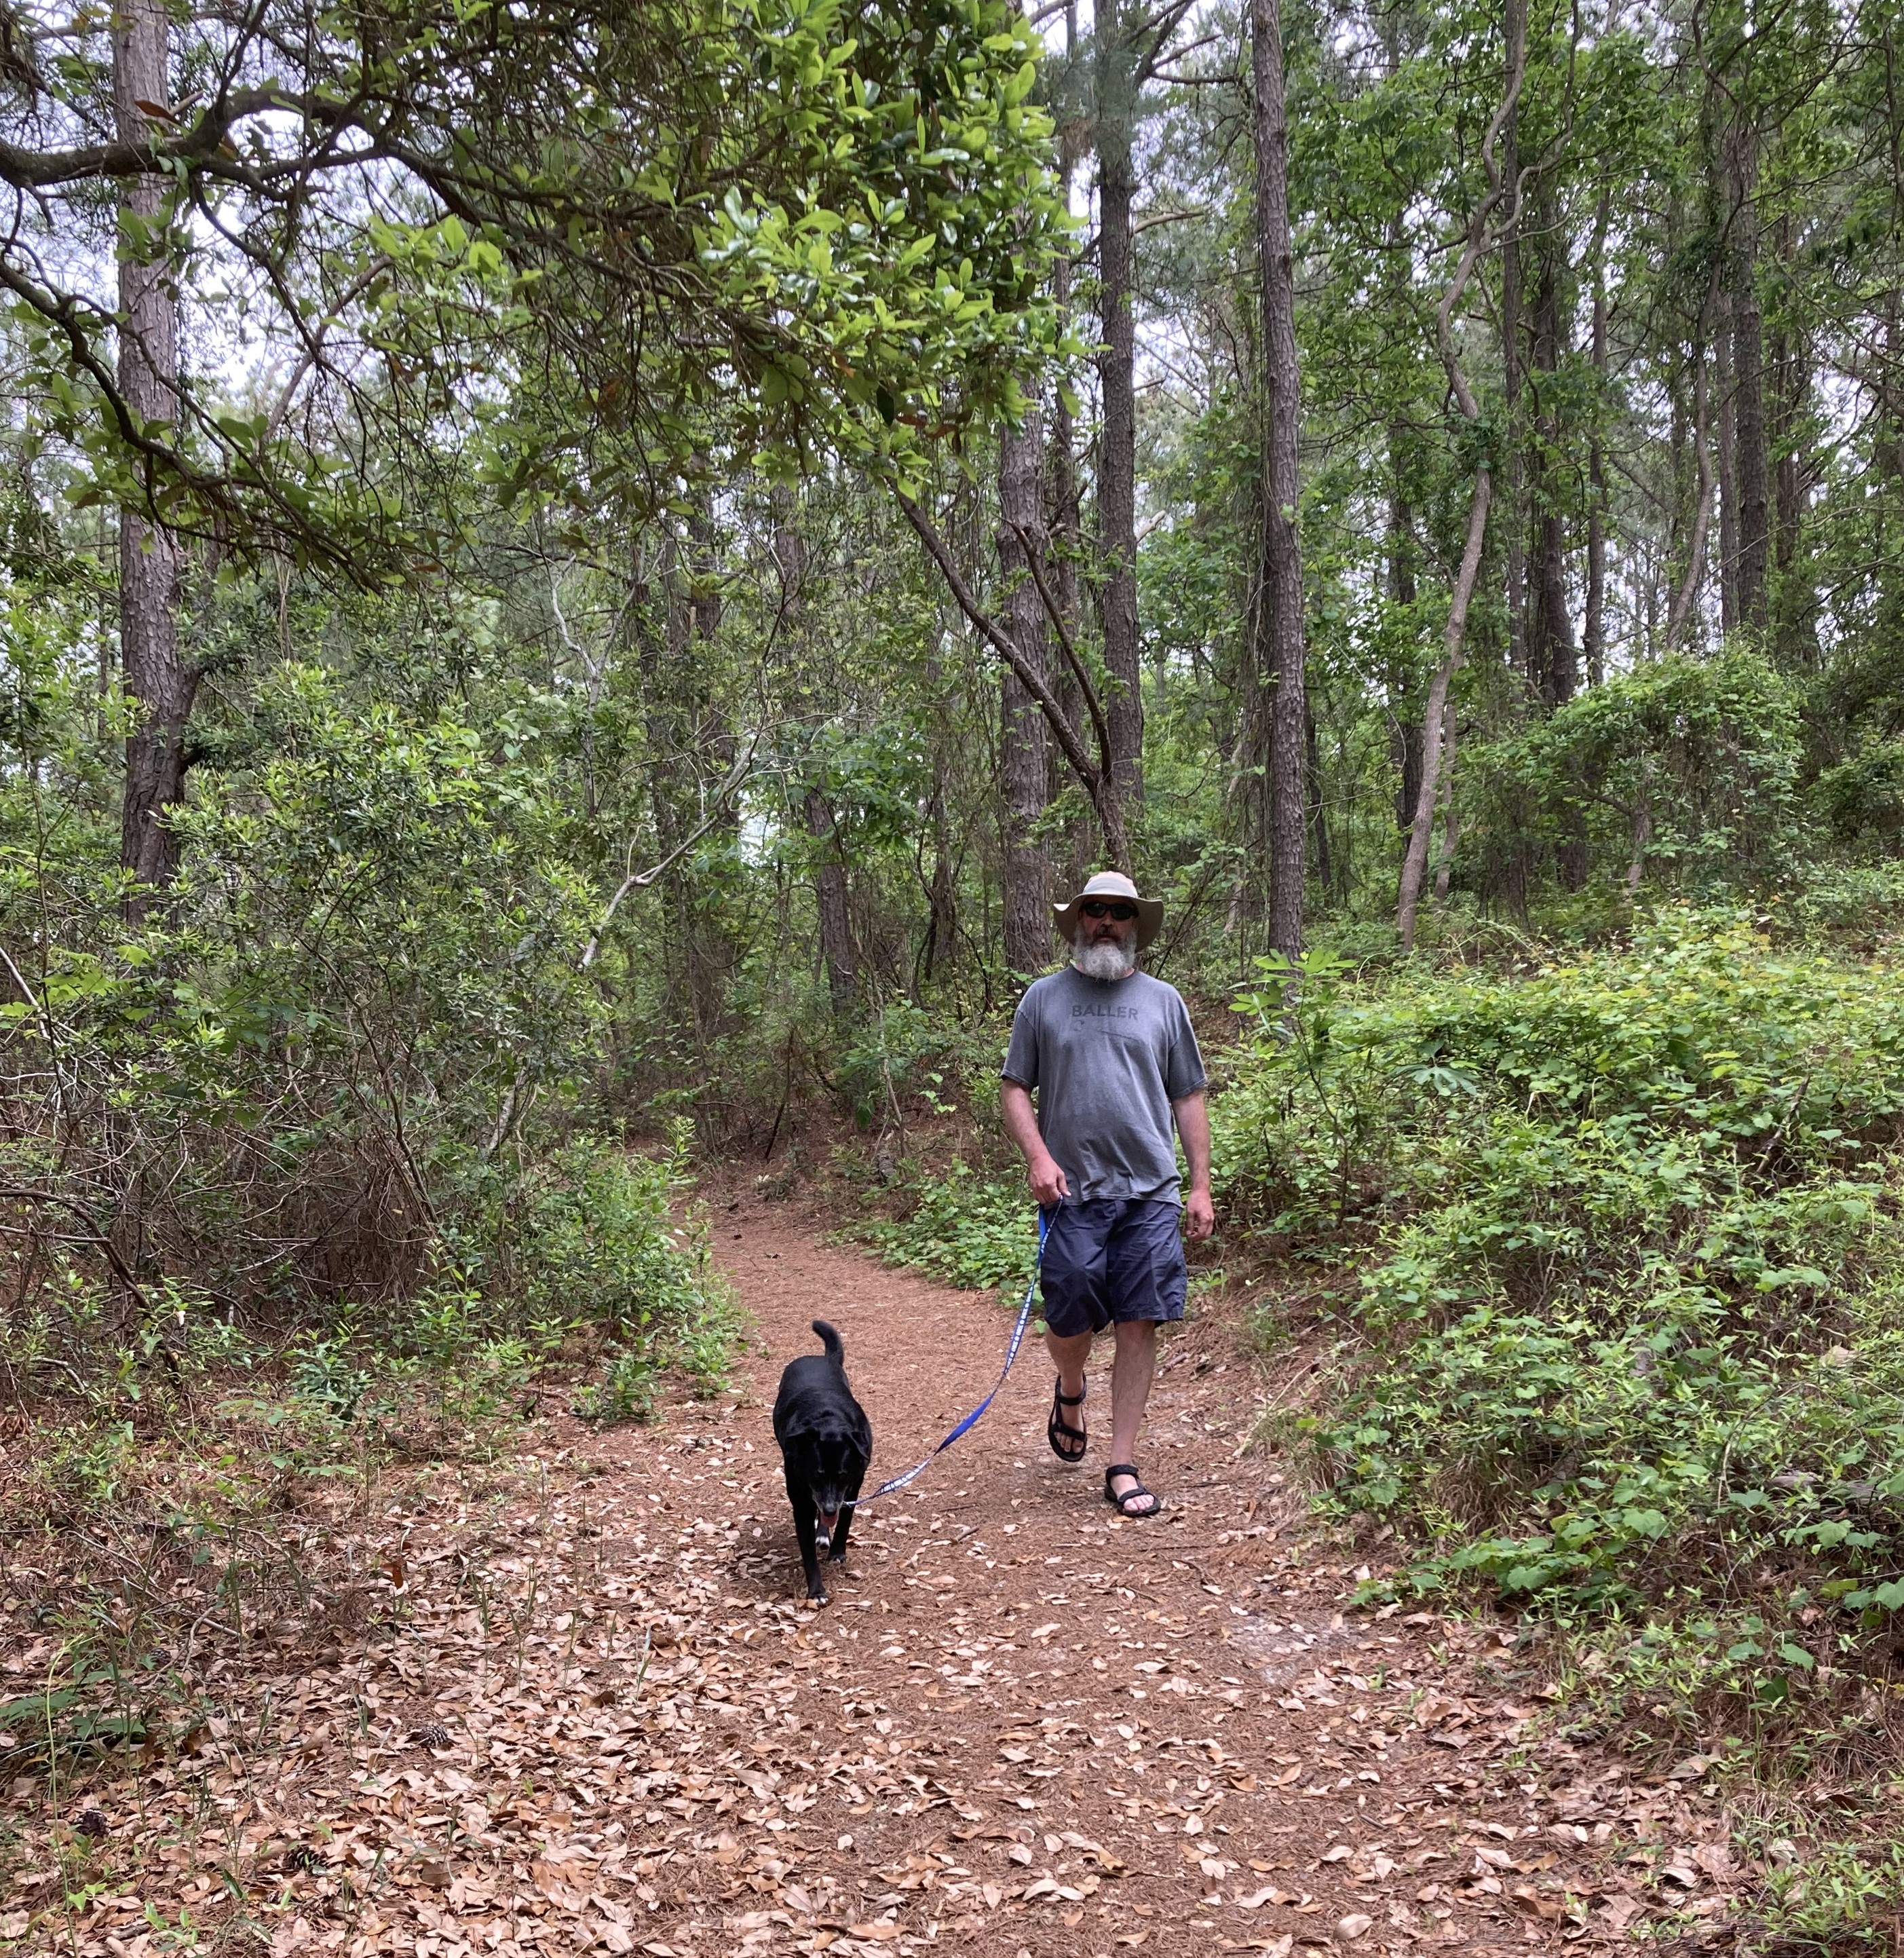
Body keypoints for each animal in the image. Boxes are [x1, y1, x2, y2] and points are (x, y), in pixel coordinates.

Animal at [772, 1320, 872, 1603]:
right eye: (816, 1475)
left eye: (842, 1475)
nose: (828, 1509)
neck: (827, 1420)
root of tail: (821, 1357)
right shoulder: (802, 1501)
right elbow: (808, 1553)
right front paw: (816, 1591)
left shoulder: (853, 1486)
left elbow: (845, 1519)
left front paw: (837, 1551)